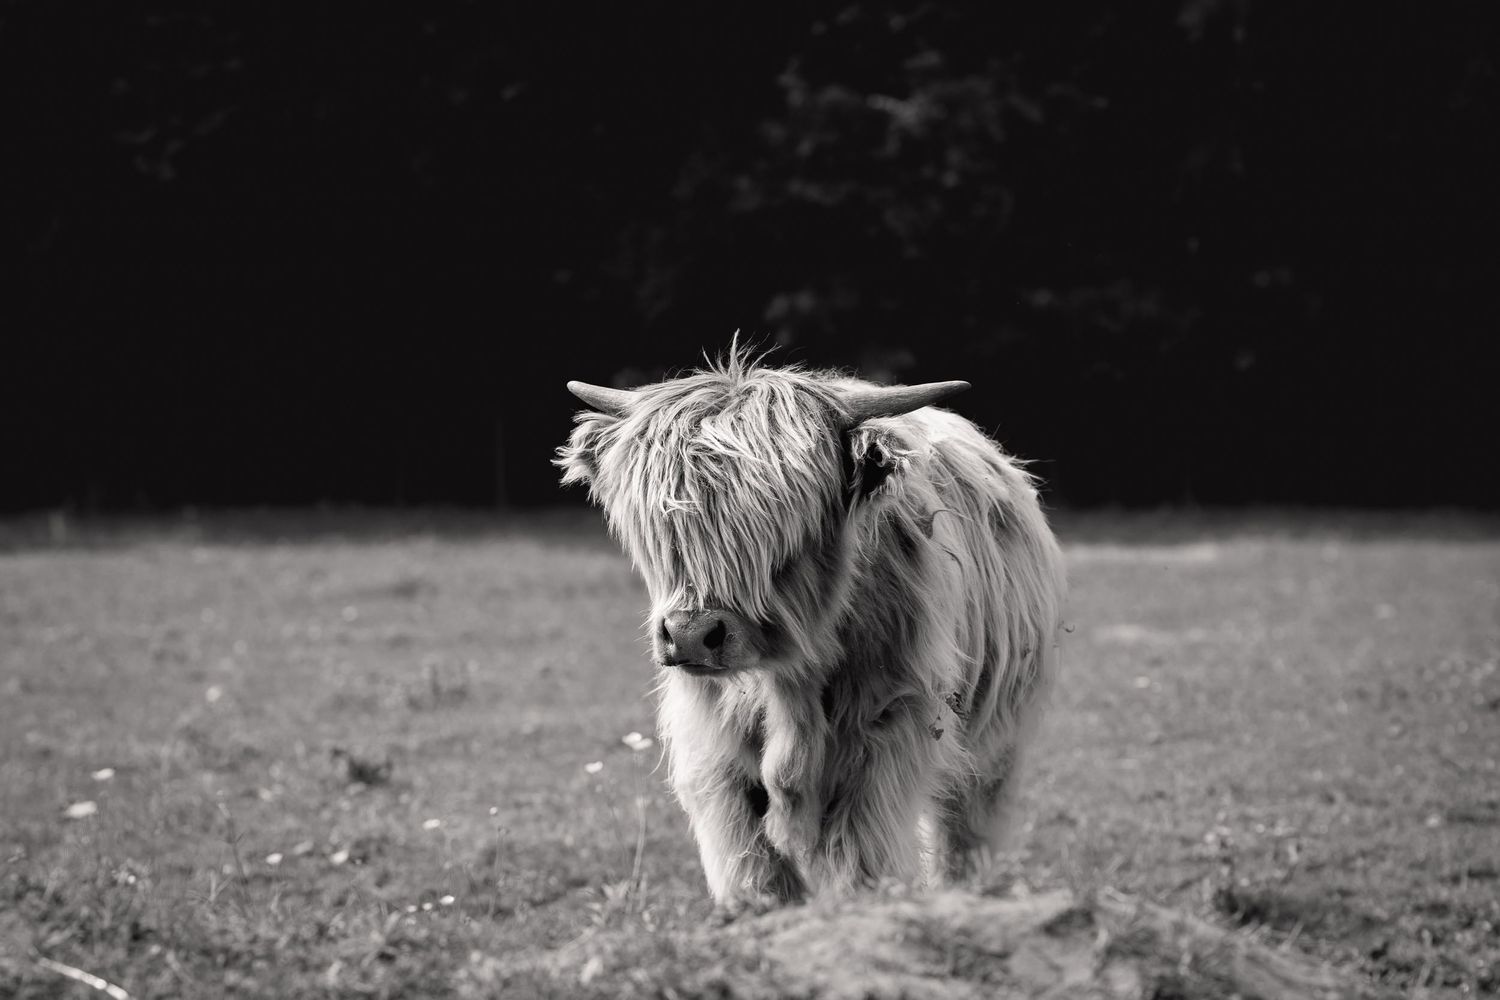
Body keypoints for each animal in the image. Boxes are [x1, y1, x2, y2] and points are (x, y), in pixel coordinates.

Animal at [556, 349, 1066, 909]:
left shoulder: (891, 726)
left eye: (782, 526)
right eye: (661, 527)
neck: (790, 684)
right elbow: (754, 872)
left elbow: (860, 857)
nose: (691, 634)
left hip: (997, 740)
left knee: (966, 829)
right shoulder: (712, 750)